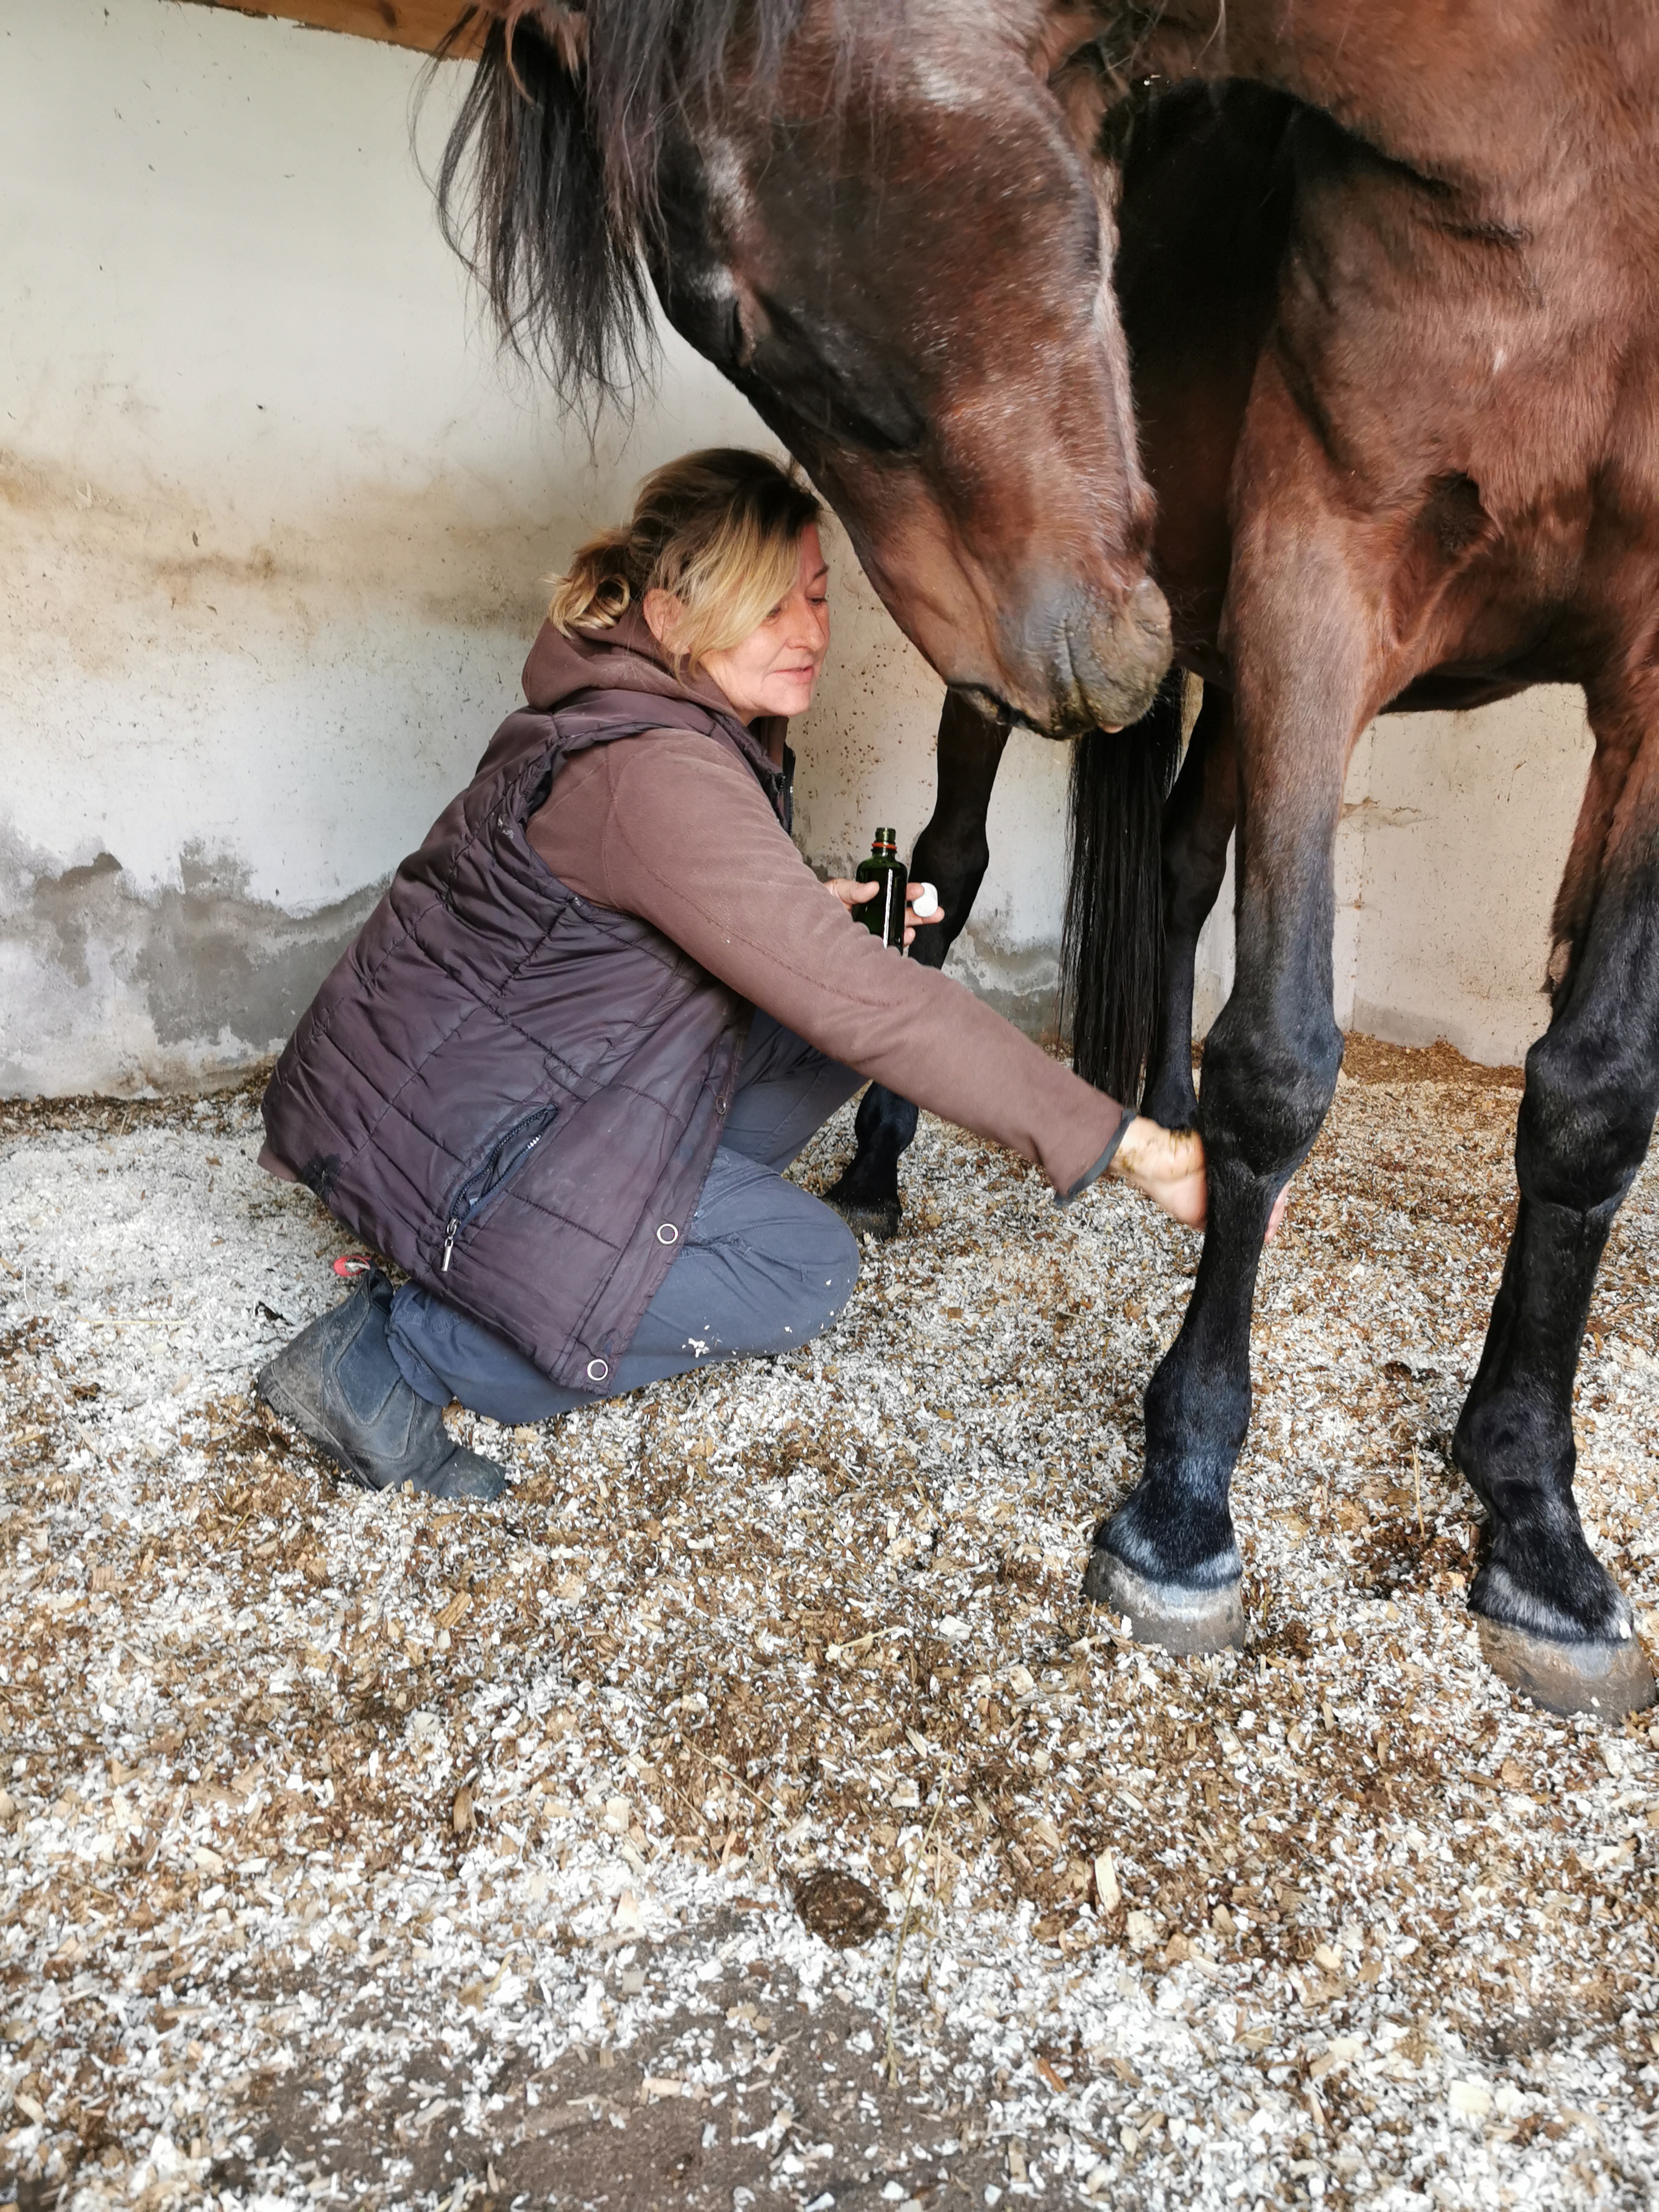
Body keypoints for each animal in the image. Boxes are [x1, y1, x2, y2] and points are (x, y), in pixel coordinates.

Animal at [435, 2, 1659, 1720]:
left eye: (728, 299)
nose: (1058, 650)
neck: (1564, 173)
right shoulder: (1318, 585)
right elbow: (1282, 1061)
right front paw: (1181, 1505)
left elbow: (1590, 1100)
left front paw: (1535, 1522)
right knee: (945, 881)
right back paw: (885, 1165)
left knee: (1180, 871)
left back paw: (1152, 1107)